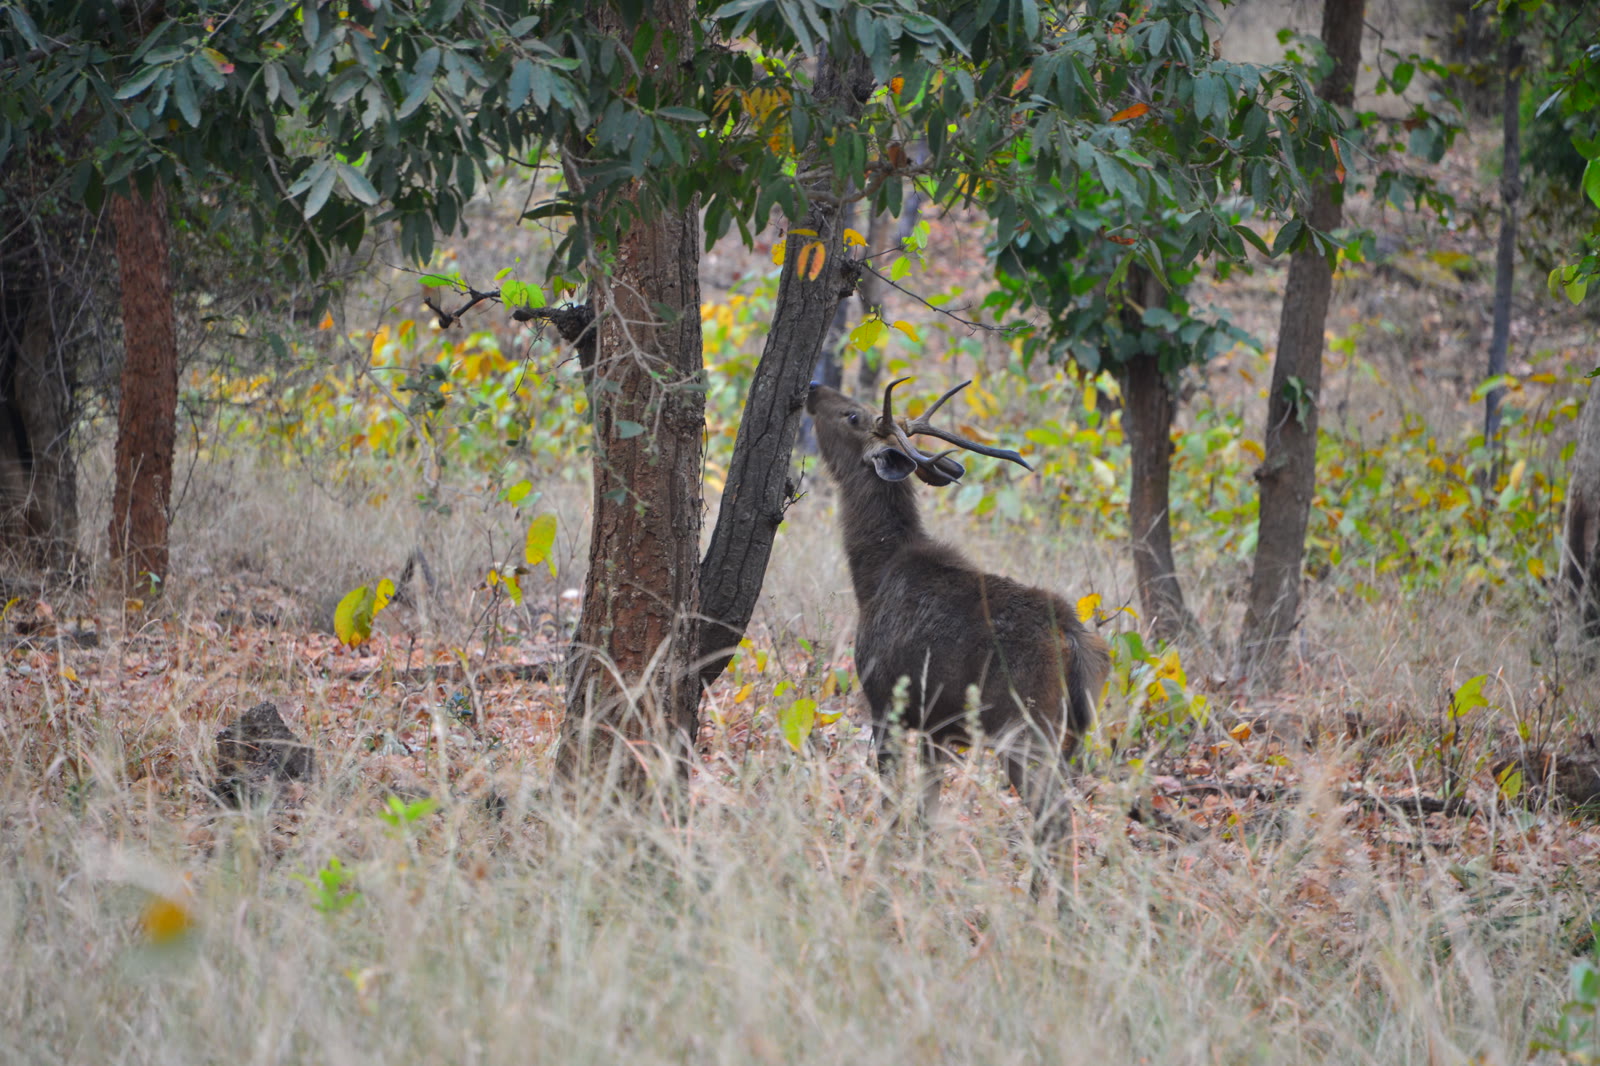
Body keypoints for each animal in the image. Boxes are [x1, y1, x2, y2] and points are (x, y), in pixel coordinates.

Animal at [806, 377, 1111, 850]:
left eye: (852, 415)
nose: (813, 386)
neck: (871, 577)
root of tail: (1073, 640)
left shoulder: (883, 700)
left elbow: (891, 801)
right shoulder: (936, 729)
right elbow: (927, 811)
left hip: (1026, 729)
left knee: (1055, 820)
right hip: (1071, 735)